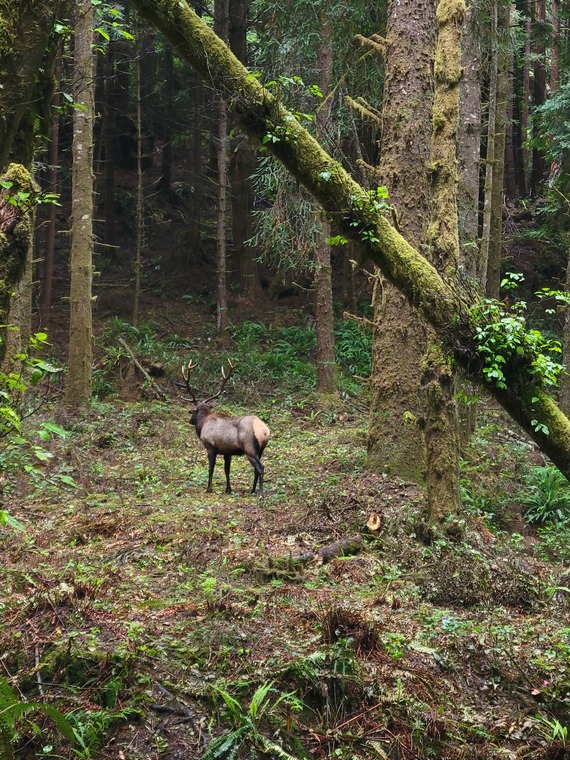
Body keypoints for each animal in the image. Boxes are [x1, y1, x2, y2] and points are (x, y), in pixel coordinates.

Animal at [182, 360, 270, 496]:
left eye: (193, 412)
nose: (190, 421)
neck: (202, 424)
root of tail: (265, 431)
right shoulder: (227, 451)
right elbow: (227, 470)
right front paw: (228, 489)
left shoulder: (211, 447)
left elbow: (211, 468)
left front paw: (208, 488)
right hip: (260, 450)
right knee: (256, 469)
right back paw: (252, 490)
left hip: (250, 449)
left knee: (261, 467)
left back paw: (260, 493)